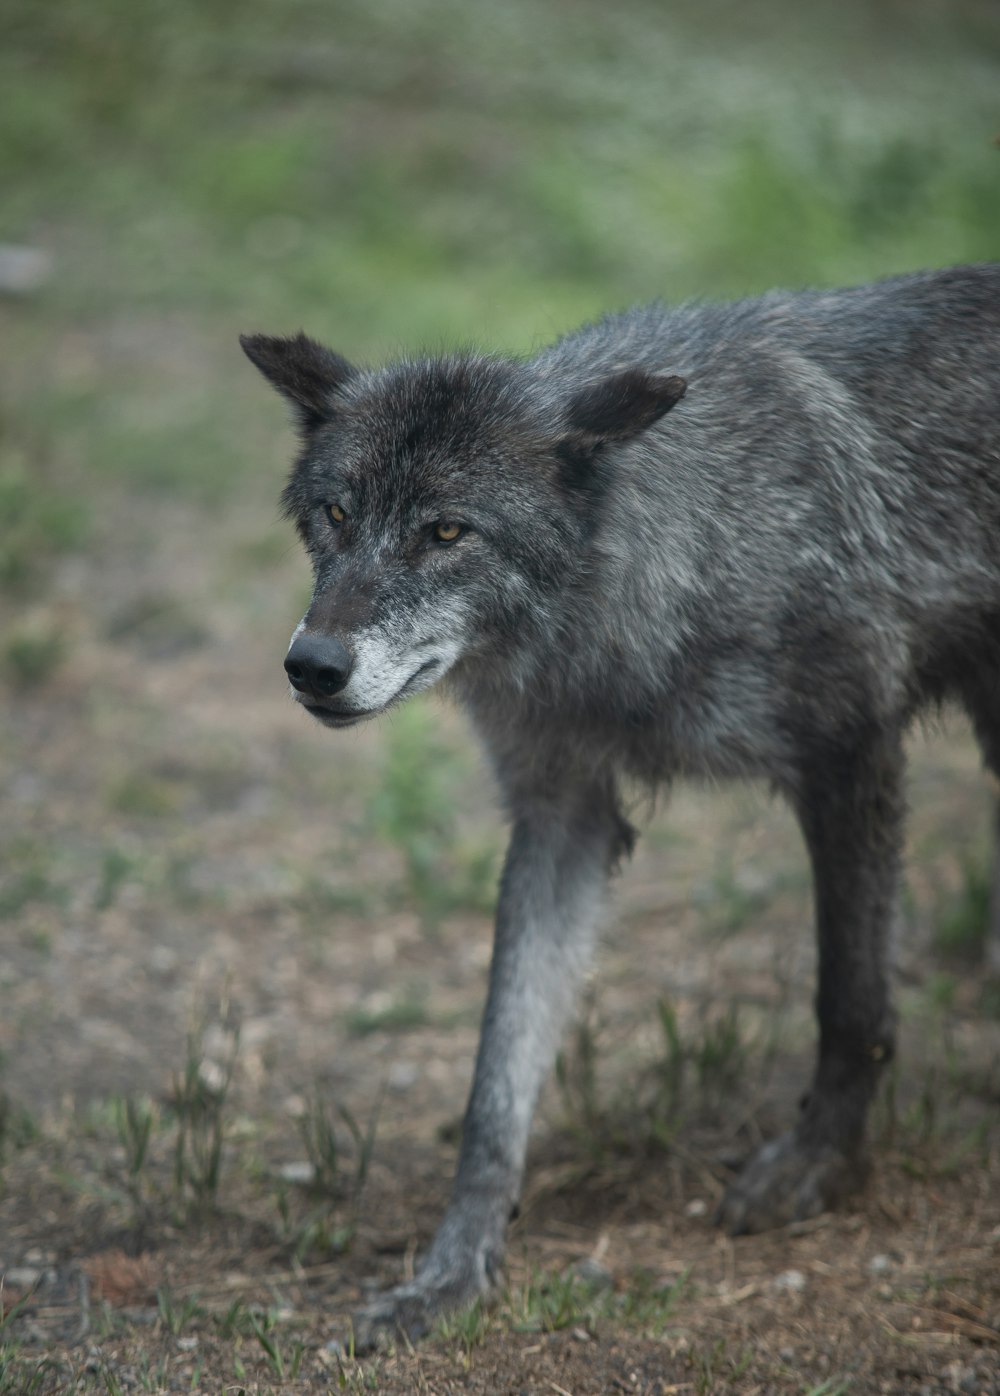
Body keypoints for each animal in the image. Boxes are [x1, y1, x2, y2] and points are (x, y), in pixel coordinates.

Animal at [241, 262, 1000, 1340]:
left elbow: (848, 998)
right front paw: (452, 1270)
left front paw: (818, 1169)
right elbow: (496, 1078)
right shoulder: (562, 819)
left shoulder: (851, 760)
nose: (311, 666)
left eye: (447, 531)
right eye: (337, 515)